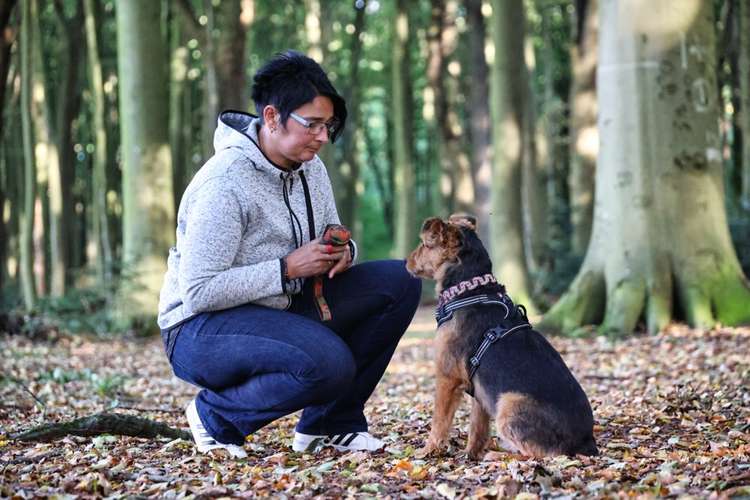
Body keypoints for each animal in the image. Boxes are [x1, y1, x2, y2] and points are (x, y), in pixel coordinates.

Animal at [406, 215, 600, 460]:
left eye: (425, 244)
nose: (405, 262)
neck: (468, 290)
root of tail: (587, 443)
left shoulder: (447, 378)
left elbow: (439, 422)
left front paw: (427, 451)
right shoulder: (481, 390)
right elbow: (477, 427)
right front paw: (471, 454)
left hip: (509, 402)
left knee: (538, 454)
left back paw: (498, 455)